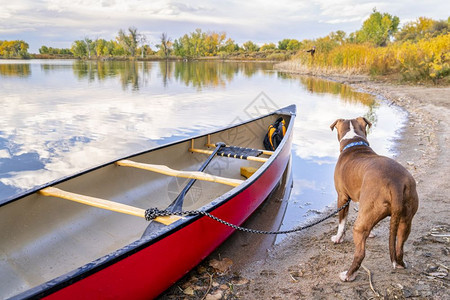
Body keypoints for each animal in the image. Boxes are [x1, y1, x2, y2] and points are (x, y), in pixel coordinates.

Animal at [330, 117, 418, 282]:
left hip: (359, 225)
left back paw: (348, 275)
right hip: (406, 219)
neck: (355, 142)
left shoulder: (342, 197)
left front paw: (338, 238)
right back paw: (401, 264)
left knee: (360, 254)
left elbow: (341, 222)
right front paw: (370, 234)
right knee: (399, 247)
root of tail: (395, 183)